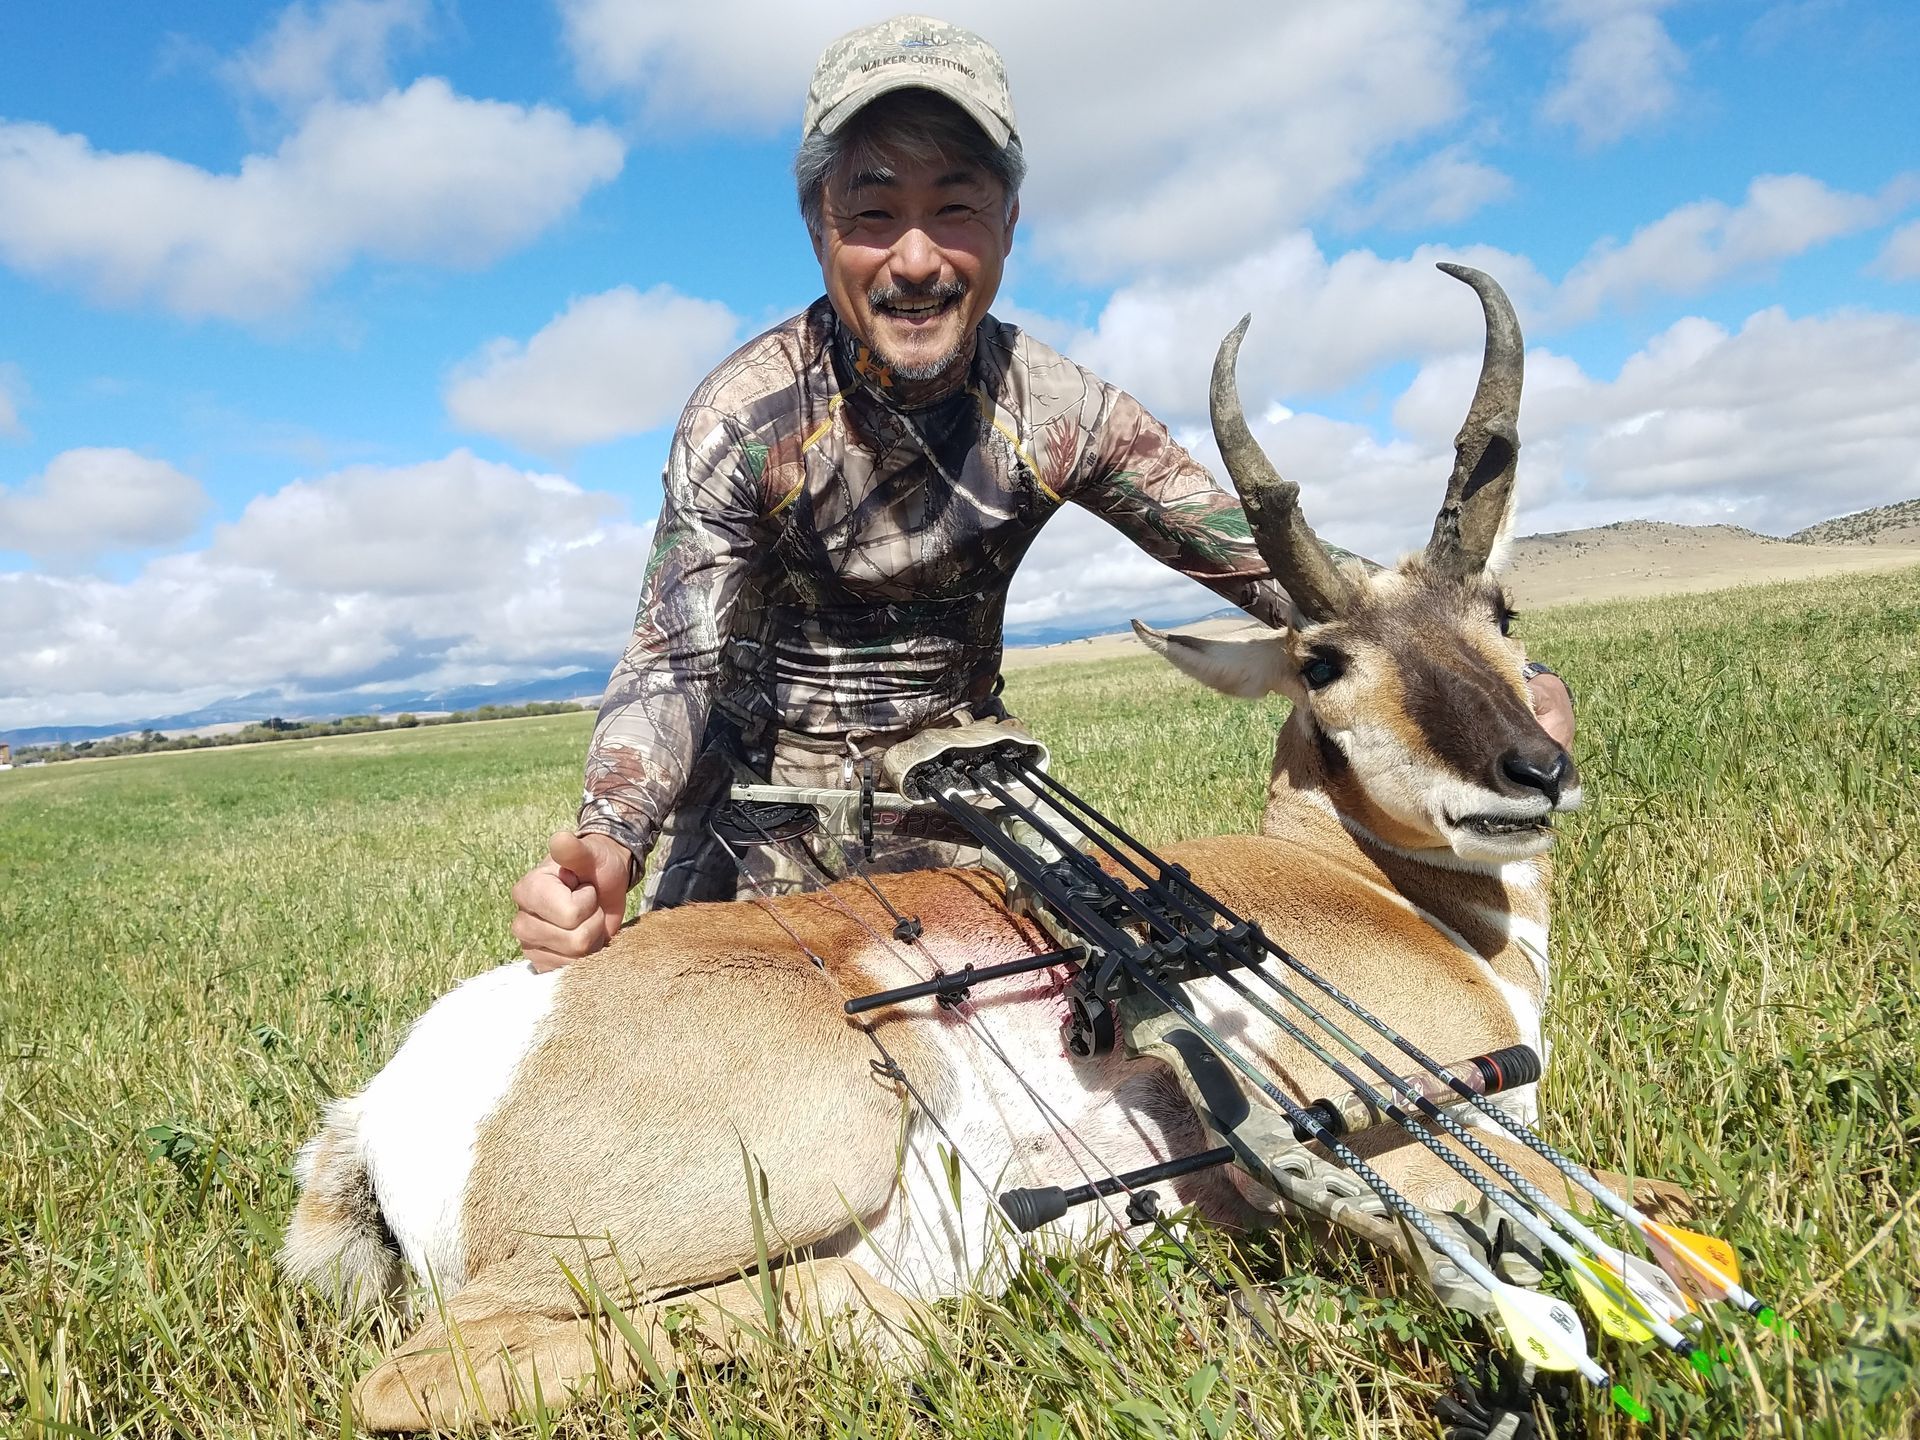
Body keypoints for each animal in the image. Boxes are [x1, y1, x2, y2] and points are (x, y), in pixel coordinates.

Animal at [285, 266, 1591, 1431]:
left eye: (1503, 612)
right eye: (1322, 662)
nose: (1530, 773)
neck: (1359, 888)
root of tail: (381, 1101)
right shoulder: (1441, 1144)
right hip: (804, 1155)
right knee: (420, 1372)